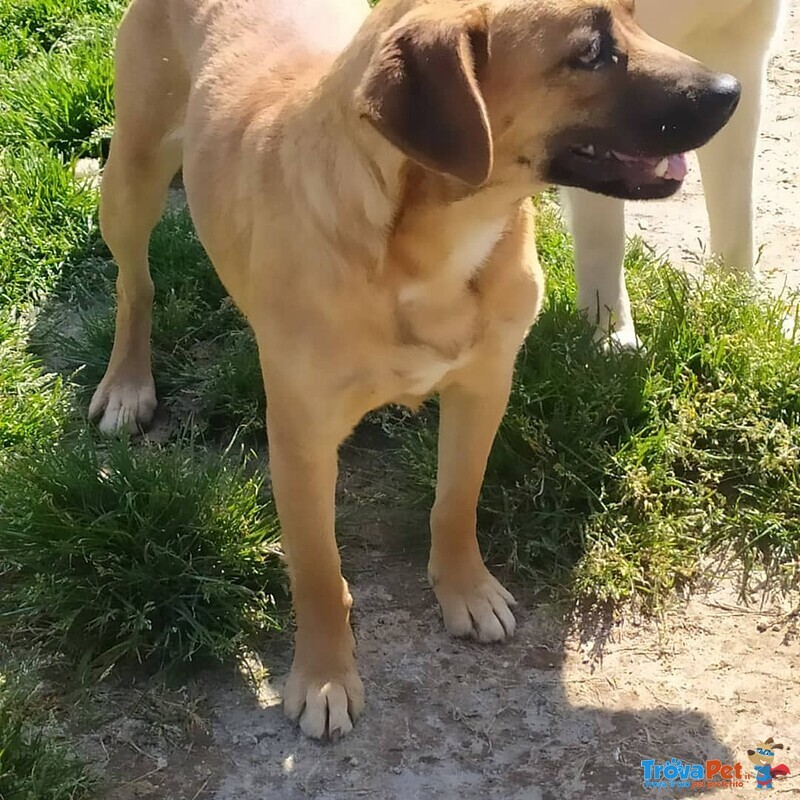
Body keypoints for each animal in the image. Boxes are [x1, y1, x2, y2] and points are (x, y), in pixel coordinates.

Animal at [95, 0, 744, 740]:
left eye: (637, 19)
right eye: (589, 53)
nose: (733, 89)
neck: (434, 242)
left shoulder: (485, 385)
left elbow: (455, 500)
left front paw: (465, 589)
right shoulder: (301, 439)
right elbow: (317, 569)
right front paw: (324, 674)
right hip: (132, 175)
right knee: (134, 283)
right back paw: (126, 385)